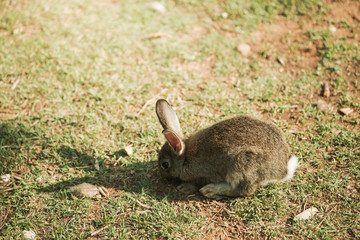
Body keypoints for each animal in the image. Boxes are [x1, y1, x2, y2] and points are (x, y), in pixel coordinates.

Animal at [155, 98, 298, 200]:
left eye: (165, 164)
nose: (162, 175)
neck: (184, 156)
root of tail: (283, 170)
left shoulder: (204, 173)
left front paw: (184, 187)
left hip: (242, 165)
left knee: (243, 190)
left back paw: (210, 190)